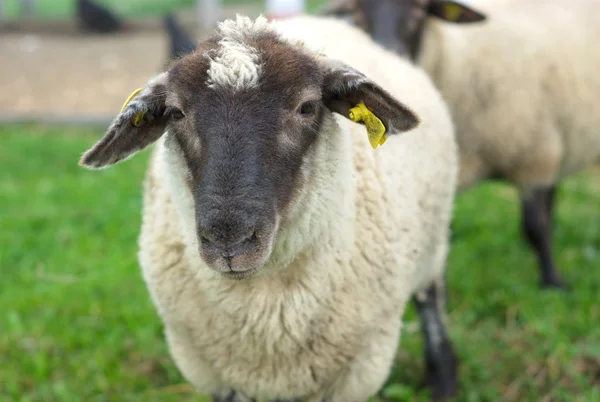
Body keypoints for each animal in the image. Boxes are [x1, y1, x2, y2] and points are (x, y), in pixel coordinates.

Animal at [77, 13, 458, 402]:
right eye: (176, 112)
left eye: (307, 107)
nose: (229, 242)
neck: (268, 314)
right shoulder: (215, 375)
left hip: (432, 243)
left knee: (430, 297)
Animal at [326, 0, 600, 288]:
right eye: (356, 8)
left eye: (420, 8)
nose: (388, 52)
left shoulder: (534, 156)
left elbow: (535, 226)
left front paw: (553, 281)